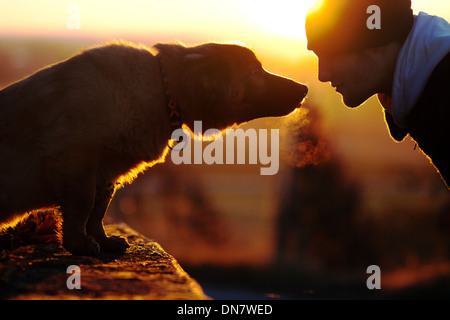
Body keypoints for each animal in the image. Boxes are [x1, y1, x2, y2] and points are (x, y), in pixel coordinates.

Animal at [0, 40, 308, 255]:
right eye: (255, 71)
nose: (305, 88)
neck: (163, 91)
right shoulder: (75, 160)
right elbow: (84, 205)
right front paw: (79, 244)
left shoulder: (106, 175)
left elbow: (98, 210)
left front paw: (101, 239)